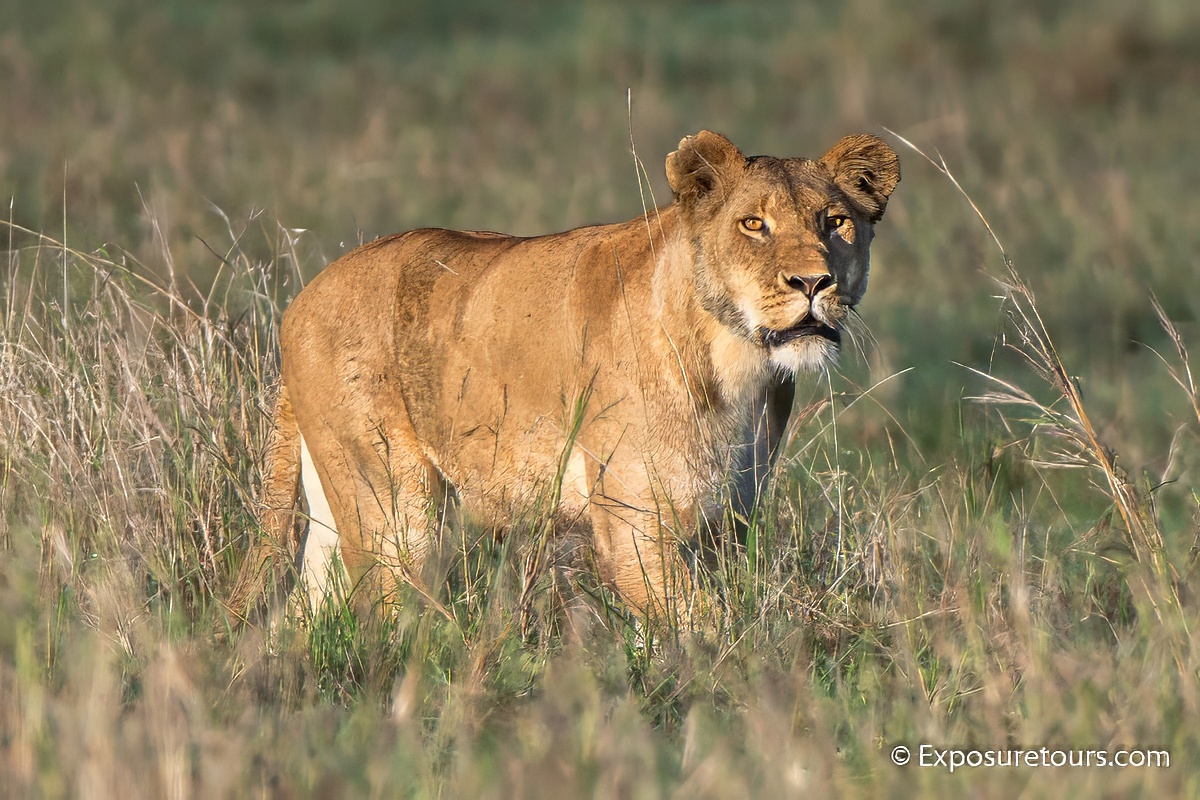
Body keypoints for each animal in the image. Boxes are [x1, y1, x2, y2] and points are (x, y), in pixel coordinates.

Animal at [228, 130, 899, 623]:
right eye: (753, 224)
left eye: (835, 221)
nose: (813, 282)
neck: (738, 366)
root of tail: (299, 302)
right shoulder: (634, 521)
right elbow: (702, 625)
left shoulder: (725, 517)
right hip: (394, 508)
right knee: (388, 611)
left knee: (307, 612)